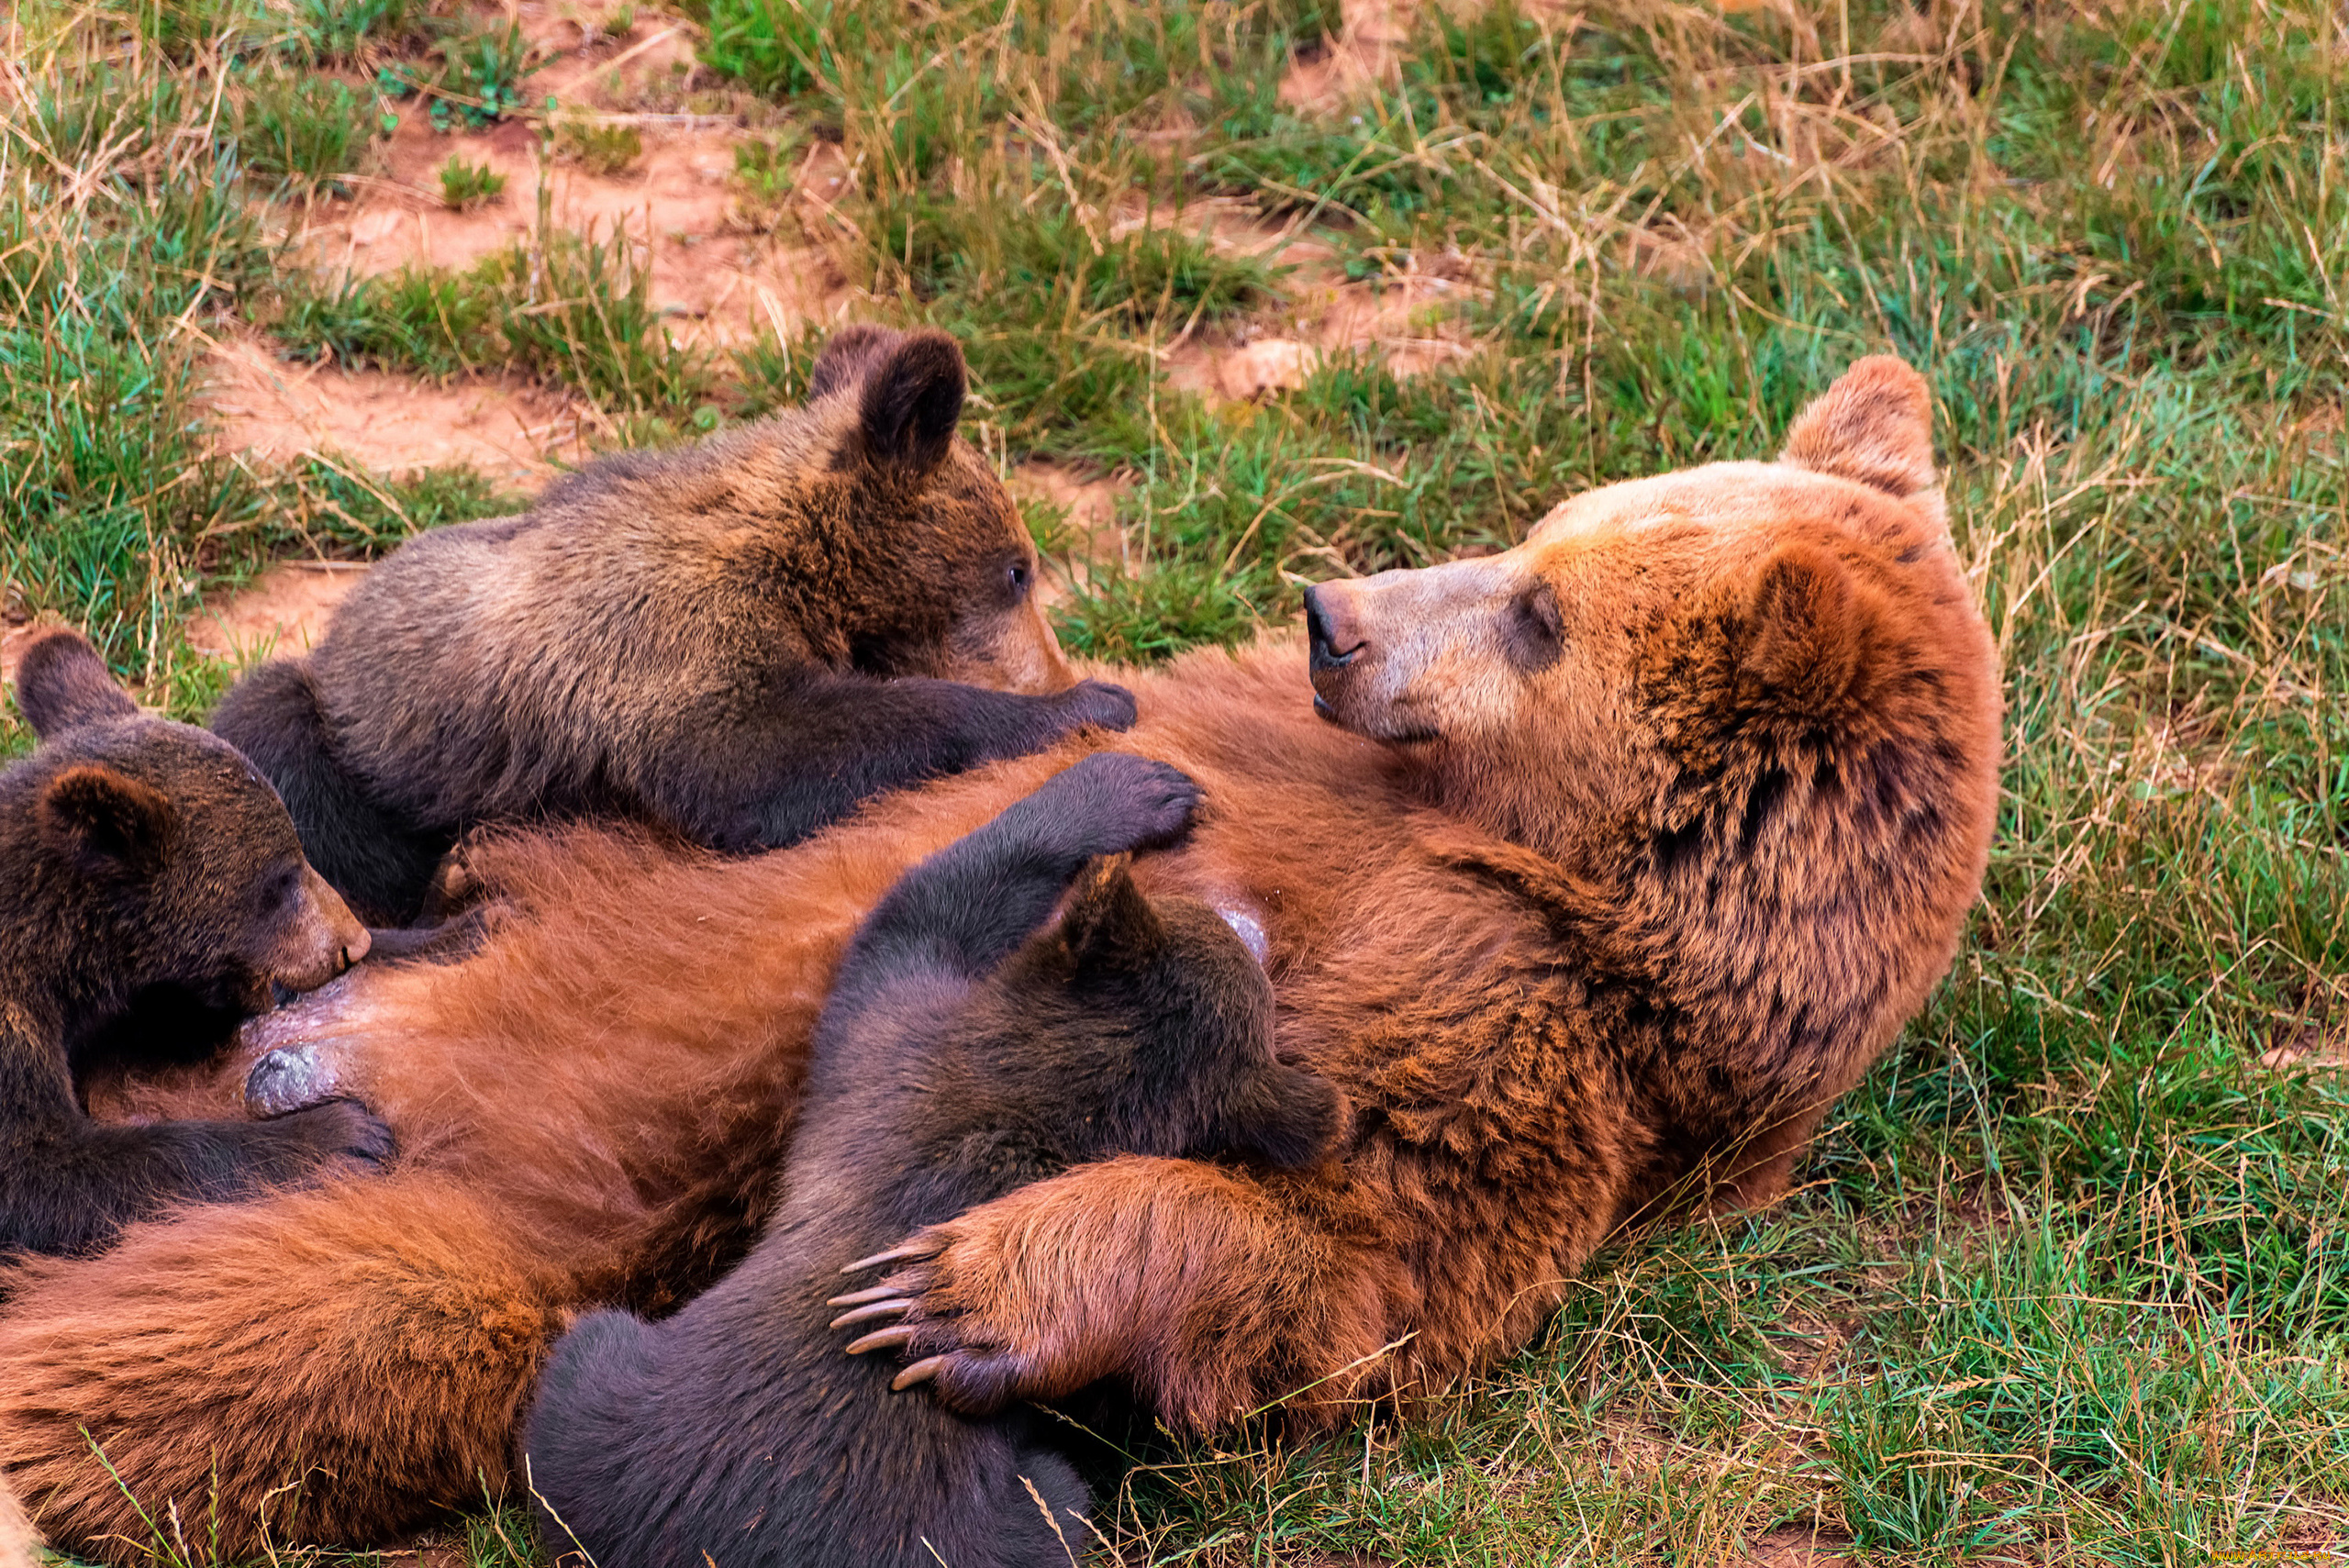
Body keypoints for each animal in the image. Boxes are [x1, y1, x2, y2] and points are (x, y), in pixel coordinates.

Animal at [0, 361, 2001, 1549]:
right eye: (1538, 542)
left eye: (1535, 612)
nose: (1328, 615)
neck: (1525, 842)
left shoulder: (1533, 1026)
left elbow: (1354, 1257)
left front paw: (966, 1283)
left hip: (442, 1232)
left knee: (244, 1344)